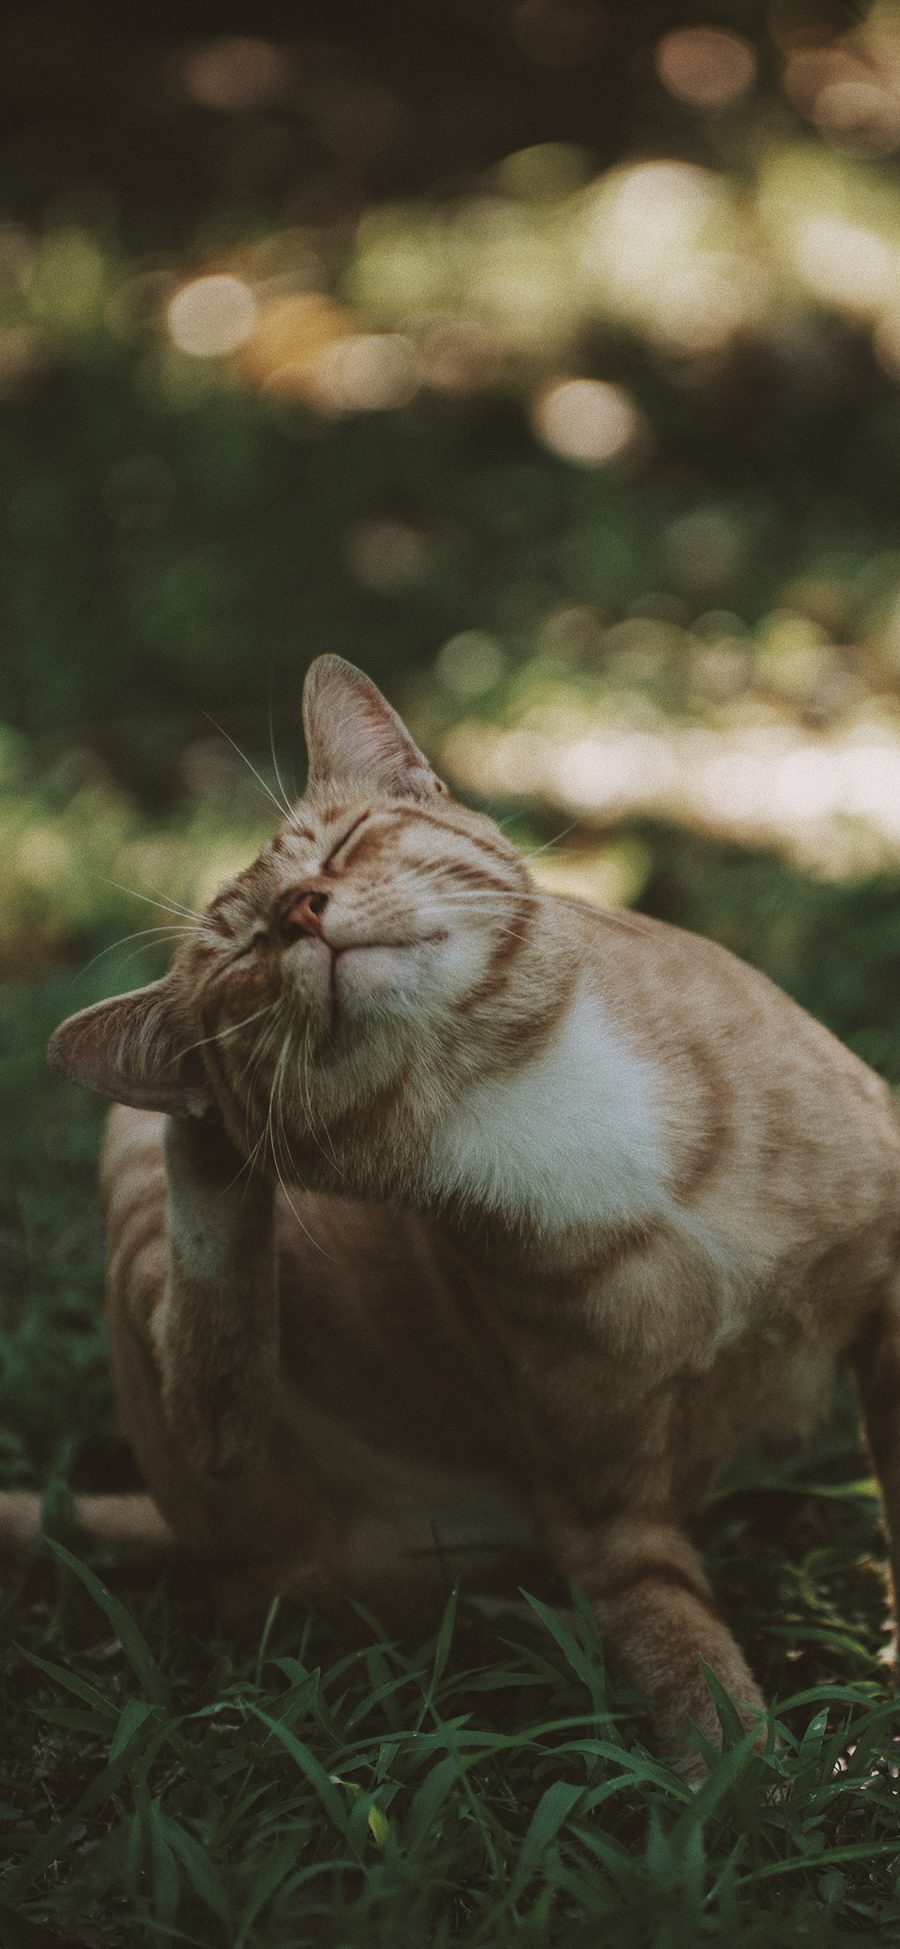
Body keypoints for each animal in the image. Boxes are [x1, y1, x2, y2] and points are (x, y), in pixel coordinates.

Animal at [15, 654, 900, 1785]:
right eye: (239, 956)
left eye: (341, 846)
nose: (301, 911)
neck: (514, 1086)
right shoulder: (606, 1508)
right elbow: (680, 1650)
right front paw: (746, 1785)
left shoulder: (889, 1304)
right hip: (155, 1245)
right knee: (217, 1394)